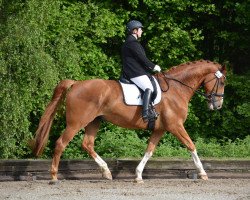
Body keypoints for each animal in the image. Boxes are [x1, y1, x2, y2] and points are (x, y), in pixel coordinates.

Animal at [29, 59, 227, 183]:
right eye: (223, 82)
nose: (218, 105)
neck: (176, 88)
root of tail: (76, 83)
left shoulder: (160, 129)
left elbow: (149, 151)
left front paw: (138, 175)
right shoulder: (175, 126)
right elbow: (191, 145)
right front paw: (203, 173)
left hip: (94, 122)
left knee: (87, 144)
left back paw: (106, 172)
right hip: (76, 123)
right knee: (61, 143)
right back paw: (54, 177)